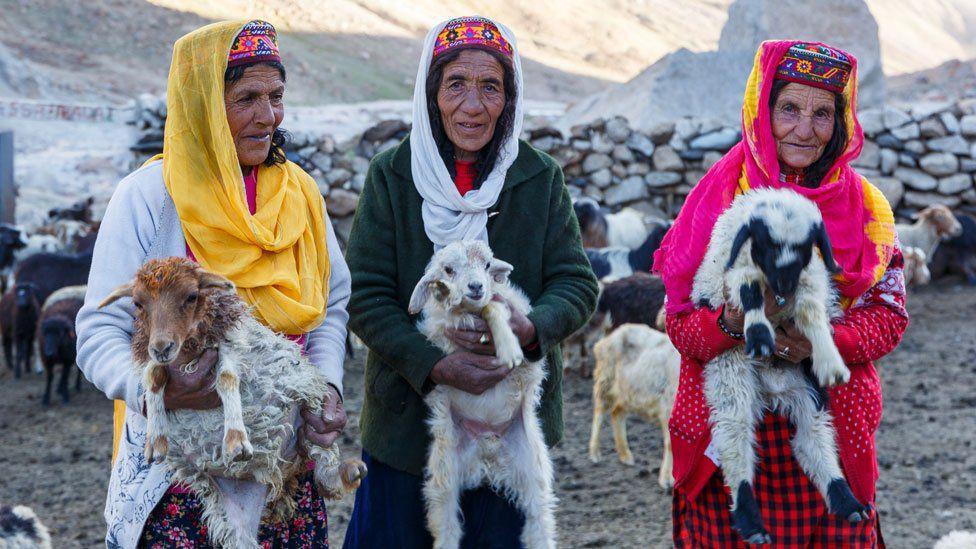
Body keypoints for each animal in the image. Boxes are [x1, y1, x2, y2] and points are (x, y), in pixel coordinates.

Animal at [100, 258, 366, 548]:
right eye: (138, 304)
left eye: (191, 296)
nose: (162, 347)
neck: (186, 352)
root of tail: (277, 472)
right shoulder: (154, 357)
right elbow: (154, 378)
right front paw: (155, 438)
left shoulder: (232, 343)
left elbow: (227, 378)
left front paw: (235, 438)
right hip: (234, 513)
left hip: (310, 402)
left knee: (325, 467)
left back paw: (347, 472)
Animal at [588, 322, 680, 488]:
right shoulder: (668, 406)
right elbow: (671, 444)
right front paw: (666, 478)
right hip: (606, 381)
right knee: (599, 413)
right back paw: (595, 452)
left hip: (627, 392)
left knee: (616, 414)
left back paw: (625, 455)